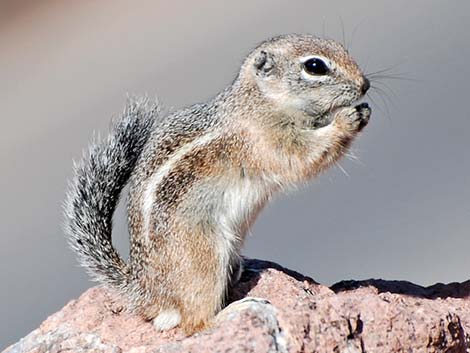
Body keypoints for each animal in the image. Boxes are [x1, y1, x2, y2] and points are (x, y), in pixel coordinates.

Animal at [63, 34, 370, 334]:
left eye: (341, 47)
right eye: (315, 66)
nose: (364, 84)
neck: (259, 102)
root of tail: (148, 293)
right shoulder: (266, 141)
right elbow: (305, 158)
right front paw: (347, 119)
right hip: (204, 257)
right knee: (194, 324)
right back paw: (235, 311)